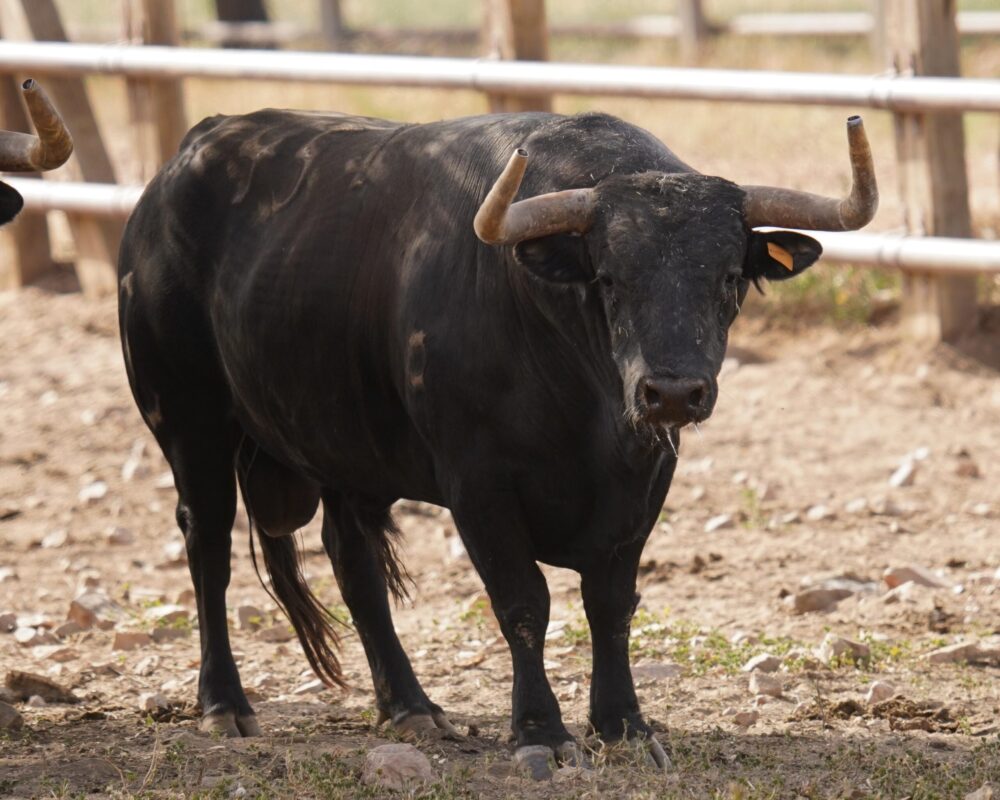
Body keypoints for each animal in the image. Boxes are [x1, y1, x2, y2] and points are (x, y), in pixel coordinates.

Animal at [117, 109, 876, 772]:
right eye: (609, 278)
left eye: (728, 277)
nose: (672, 392)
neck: (589, 416)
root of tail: (192, 153)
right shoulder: (478, 486)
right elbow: (524, 604)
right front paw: (542, 732)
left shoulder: (644, 484)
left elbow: (611, 606)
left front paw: (625, 725)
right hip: (188, 422)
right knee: (208, 546)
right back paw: (225, 703)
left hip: (343, 446)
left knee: (353, 560)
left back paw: (412, 707)